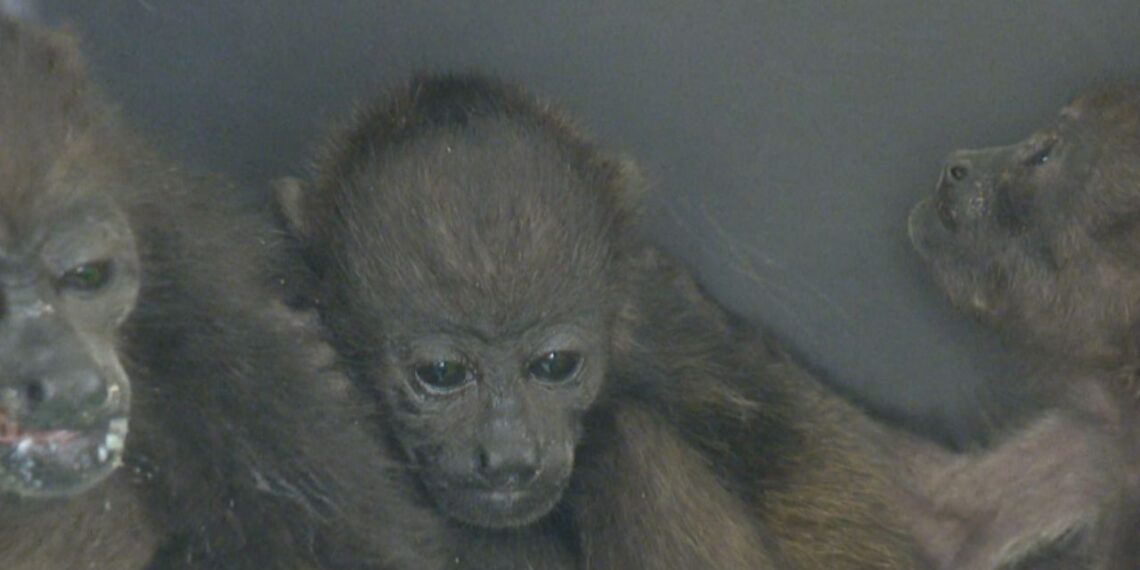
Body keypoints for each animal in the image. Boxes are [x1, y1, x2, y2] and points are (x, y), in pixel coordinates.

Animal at [277, 72, 926, 569]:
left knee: (630, 442)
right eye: (440, 373)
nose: (510, 458)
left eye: (554, 364)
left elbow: (804, 464)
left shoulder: (659, 321)